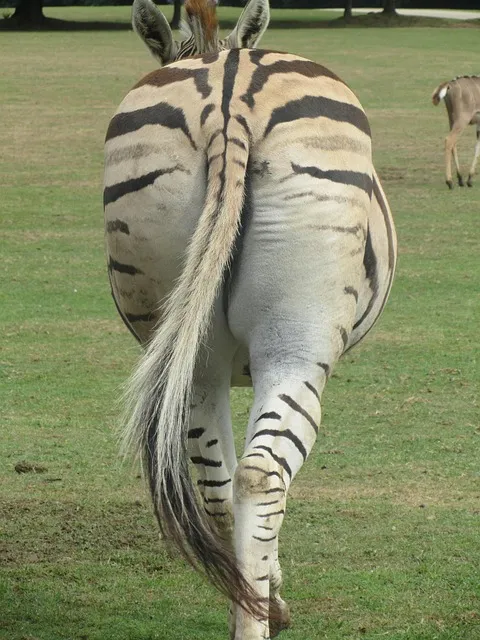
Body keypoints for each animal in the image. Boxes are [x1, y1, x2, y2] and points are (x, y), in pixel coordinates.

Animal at [104, 1, 396, 637]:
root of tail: (228, 92)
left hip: (191, 349)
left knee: (219, 479)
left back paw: (249, 604)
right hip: (298, 342)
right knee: (263, 475)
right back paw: (263, 615)